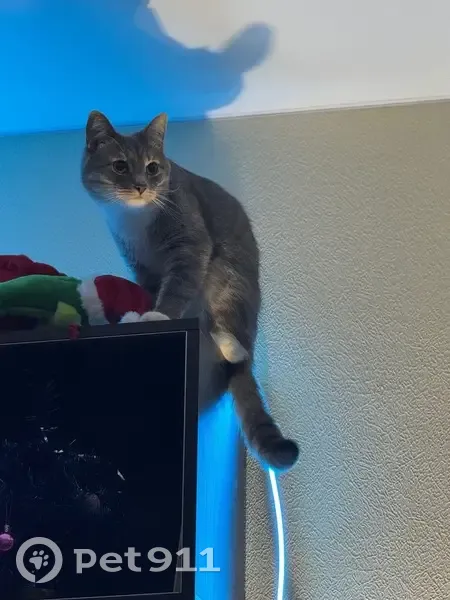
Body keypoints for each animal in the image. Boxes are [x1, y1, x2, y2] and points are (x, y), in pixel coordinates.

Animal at [81, 111, 299, 471]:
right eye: (120, 166)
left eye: (153, 167)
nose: (141, 185)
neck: (135, 219)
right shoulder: (140, 265)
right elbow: (149, 290)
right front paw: (140, 314)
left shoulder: (190, 244)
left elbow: (177, 286)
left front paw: (157, 315)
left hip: (228, 276)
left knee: (231, 333)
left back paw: (231, 345)